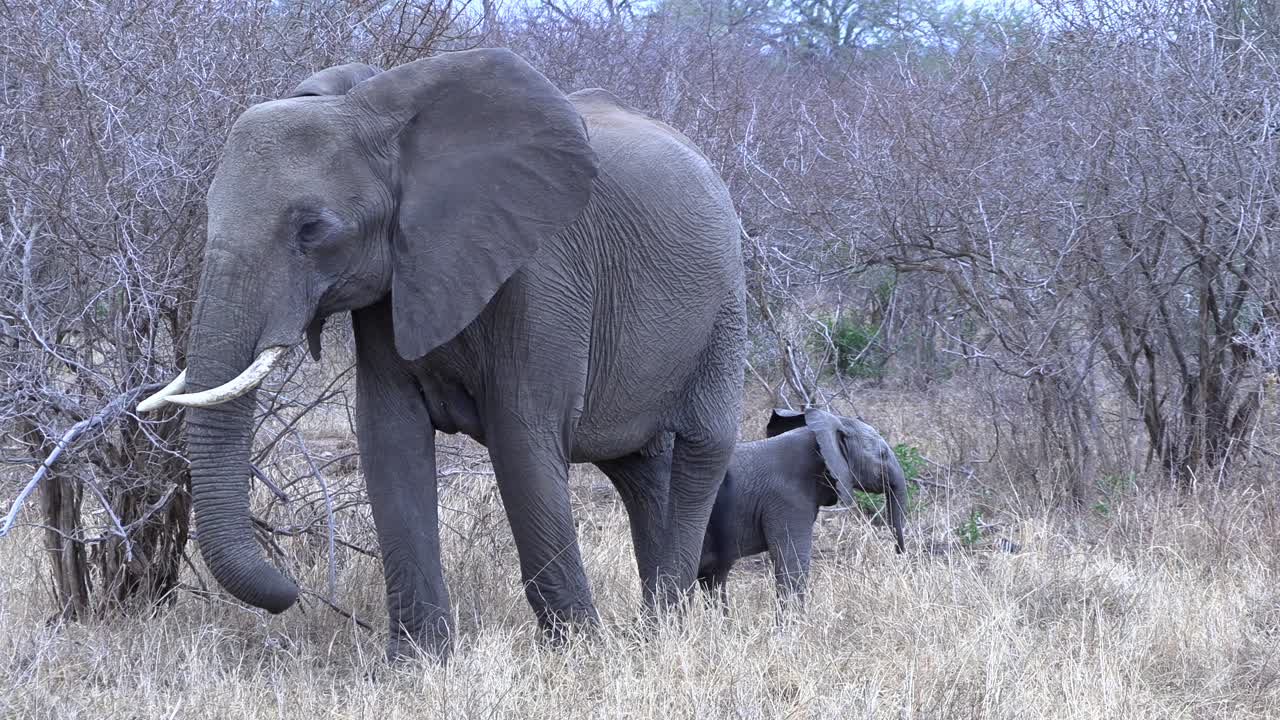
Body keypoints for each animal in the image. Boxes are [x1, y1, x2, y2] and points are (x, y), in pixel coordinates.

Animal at [138, 48, 746, 660]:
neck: (380, 111)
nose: (291, 594)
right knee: (639, 471)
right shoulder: (393, 285)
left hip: (726, 302)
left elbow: (523, 435)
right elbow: (389, 434)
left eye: (312, 229)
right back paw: (656, 625)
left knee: (702, 446)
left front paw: (578, 651)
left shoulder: (544, 271)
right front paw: (418, 660)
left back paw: (667, 625)